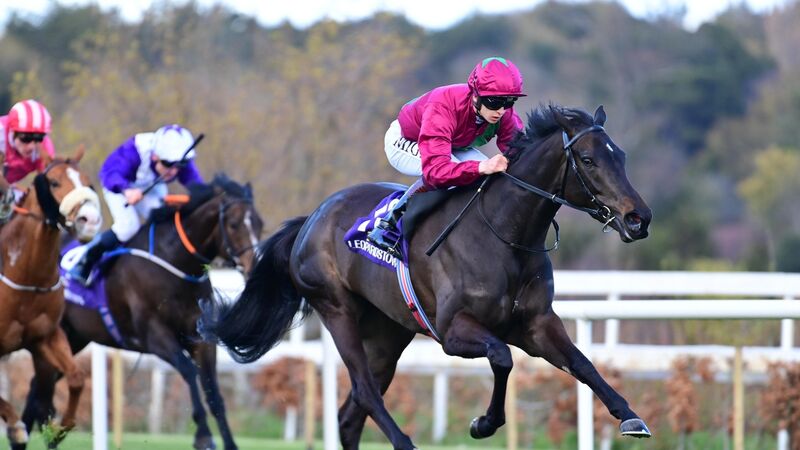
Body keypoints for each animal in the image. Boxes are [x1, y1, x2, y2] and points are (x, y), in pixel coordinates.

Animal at [0, 148, 103, 449]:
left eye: (87, 182)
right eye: (54, 183)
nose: (89, 220)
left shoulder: (45, 336)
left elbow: (77, 377)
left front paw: (59, 430)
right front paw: (16, 429)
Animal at [21, 174, 262, 450]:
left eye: (259, 224)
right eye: (233, 224)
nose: (254, 268)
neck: (174, 263)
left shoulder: (202, 340)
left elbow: (214, 392)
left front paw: (229, 443)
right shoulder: (155, 336)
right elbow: (189, 371)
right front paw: (203, 435)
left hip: (73, 340)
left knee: (38, 388)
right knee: (40, 392)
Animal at [200, 105, 653, 449]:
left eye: (622, 157)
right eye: (589, 160)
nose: (639, 218)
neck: (505, 234)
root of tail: (312, 217)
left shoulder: (536, 325)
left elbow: (583, 363)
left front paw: (630, 417)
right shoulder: (454, 332)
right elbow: (502, 357)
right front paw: (483, 424)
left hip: (387, 332)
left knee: (351, 414)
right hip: (336, 308)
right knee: (365, 392)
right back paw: (404, 442)